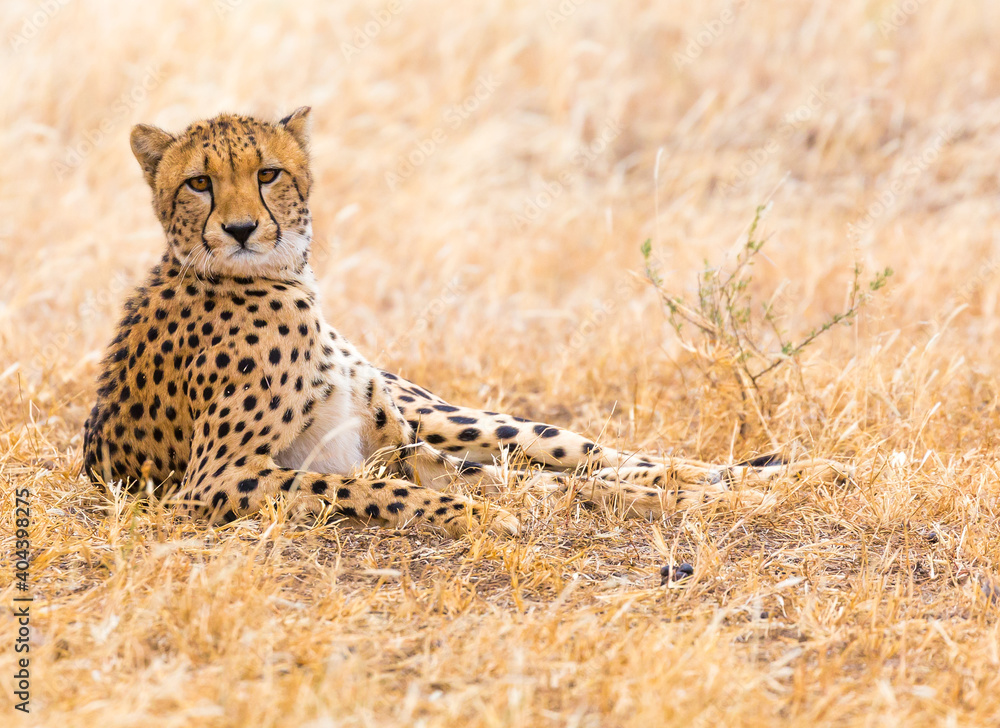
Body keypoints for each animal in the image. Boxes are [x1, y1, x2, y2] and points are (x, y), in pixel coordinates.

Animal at [81, 107, 851, 538]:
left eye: (268, 173)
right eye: (198, 183)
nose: (241, 230)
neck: (284, 280)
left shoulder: (392, 446)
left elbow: (449, 479)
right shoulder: (218, 479)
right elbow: (373, 489)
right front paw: (482, 516)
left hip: (462, 419)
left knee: (597, 454)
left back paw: (794, 473)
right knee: (579, 472)